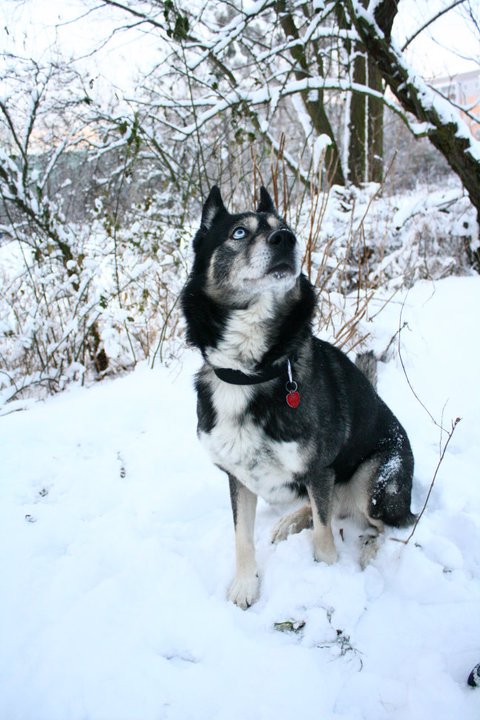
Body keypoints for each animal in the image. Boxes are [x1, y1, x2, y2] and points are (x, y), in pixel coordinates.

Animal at [182, 186, 414, 608]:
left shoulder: (319, 467)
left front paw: (327, 574)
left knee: (396, 523)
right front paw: (245, 585)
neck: (250, 372)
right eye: (239, 232)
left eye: (286, 226)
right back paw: (290, 521)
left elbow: (323, 535)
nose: (286, 240)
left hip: (374, 482)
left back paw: (370, 551)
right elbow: (242, 537)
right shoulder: (238, 476)